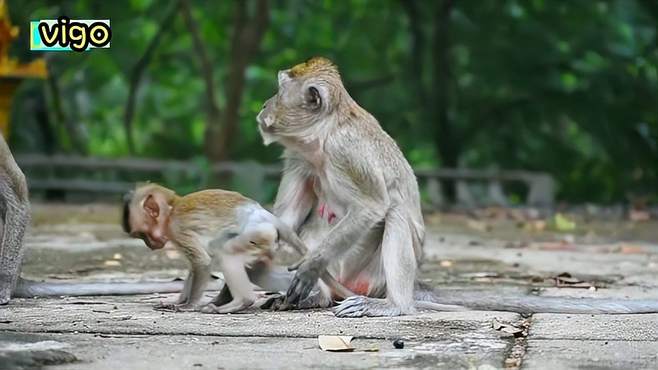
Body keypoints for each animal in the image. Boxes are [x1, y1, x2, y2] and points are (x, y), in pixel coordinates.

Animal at [121, 184, 352, 314]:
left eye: (143, 234)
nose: (151, 245)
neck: (171, 210)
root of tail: (267, 216)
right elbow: (194, 268)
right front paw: (178, 301)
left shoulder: (177, 229)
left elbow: (201, 262)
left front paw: (187, 305)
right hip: (266, 242)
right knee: (256, 270)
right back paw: (316, 294)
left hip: (257, 234)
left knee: (227, 253)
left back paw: (240, 302)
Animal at [255, 57, 656, 318]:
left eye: (279, 90)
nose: (262, 105)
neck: (322, 140)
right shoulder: (299, 157)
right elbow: (286, 220)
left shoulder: (347, 151)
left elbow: (372, 206)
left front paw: (310, 265)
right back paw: (311, 298)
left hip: (367, 276)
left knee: (394, 215)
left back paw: (393, 306)